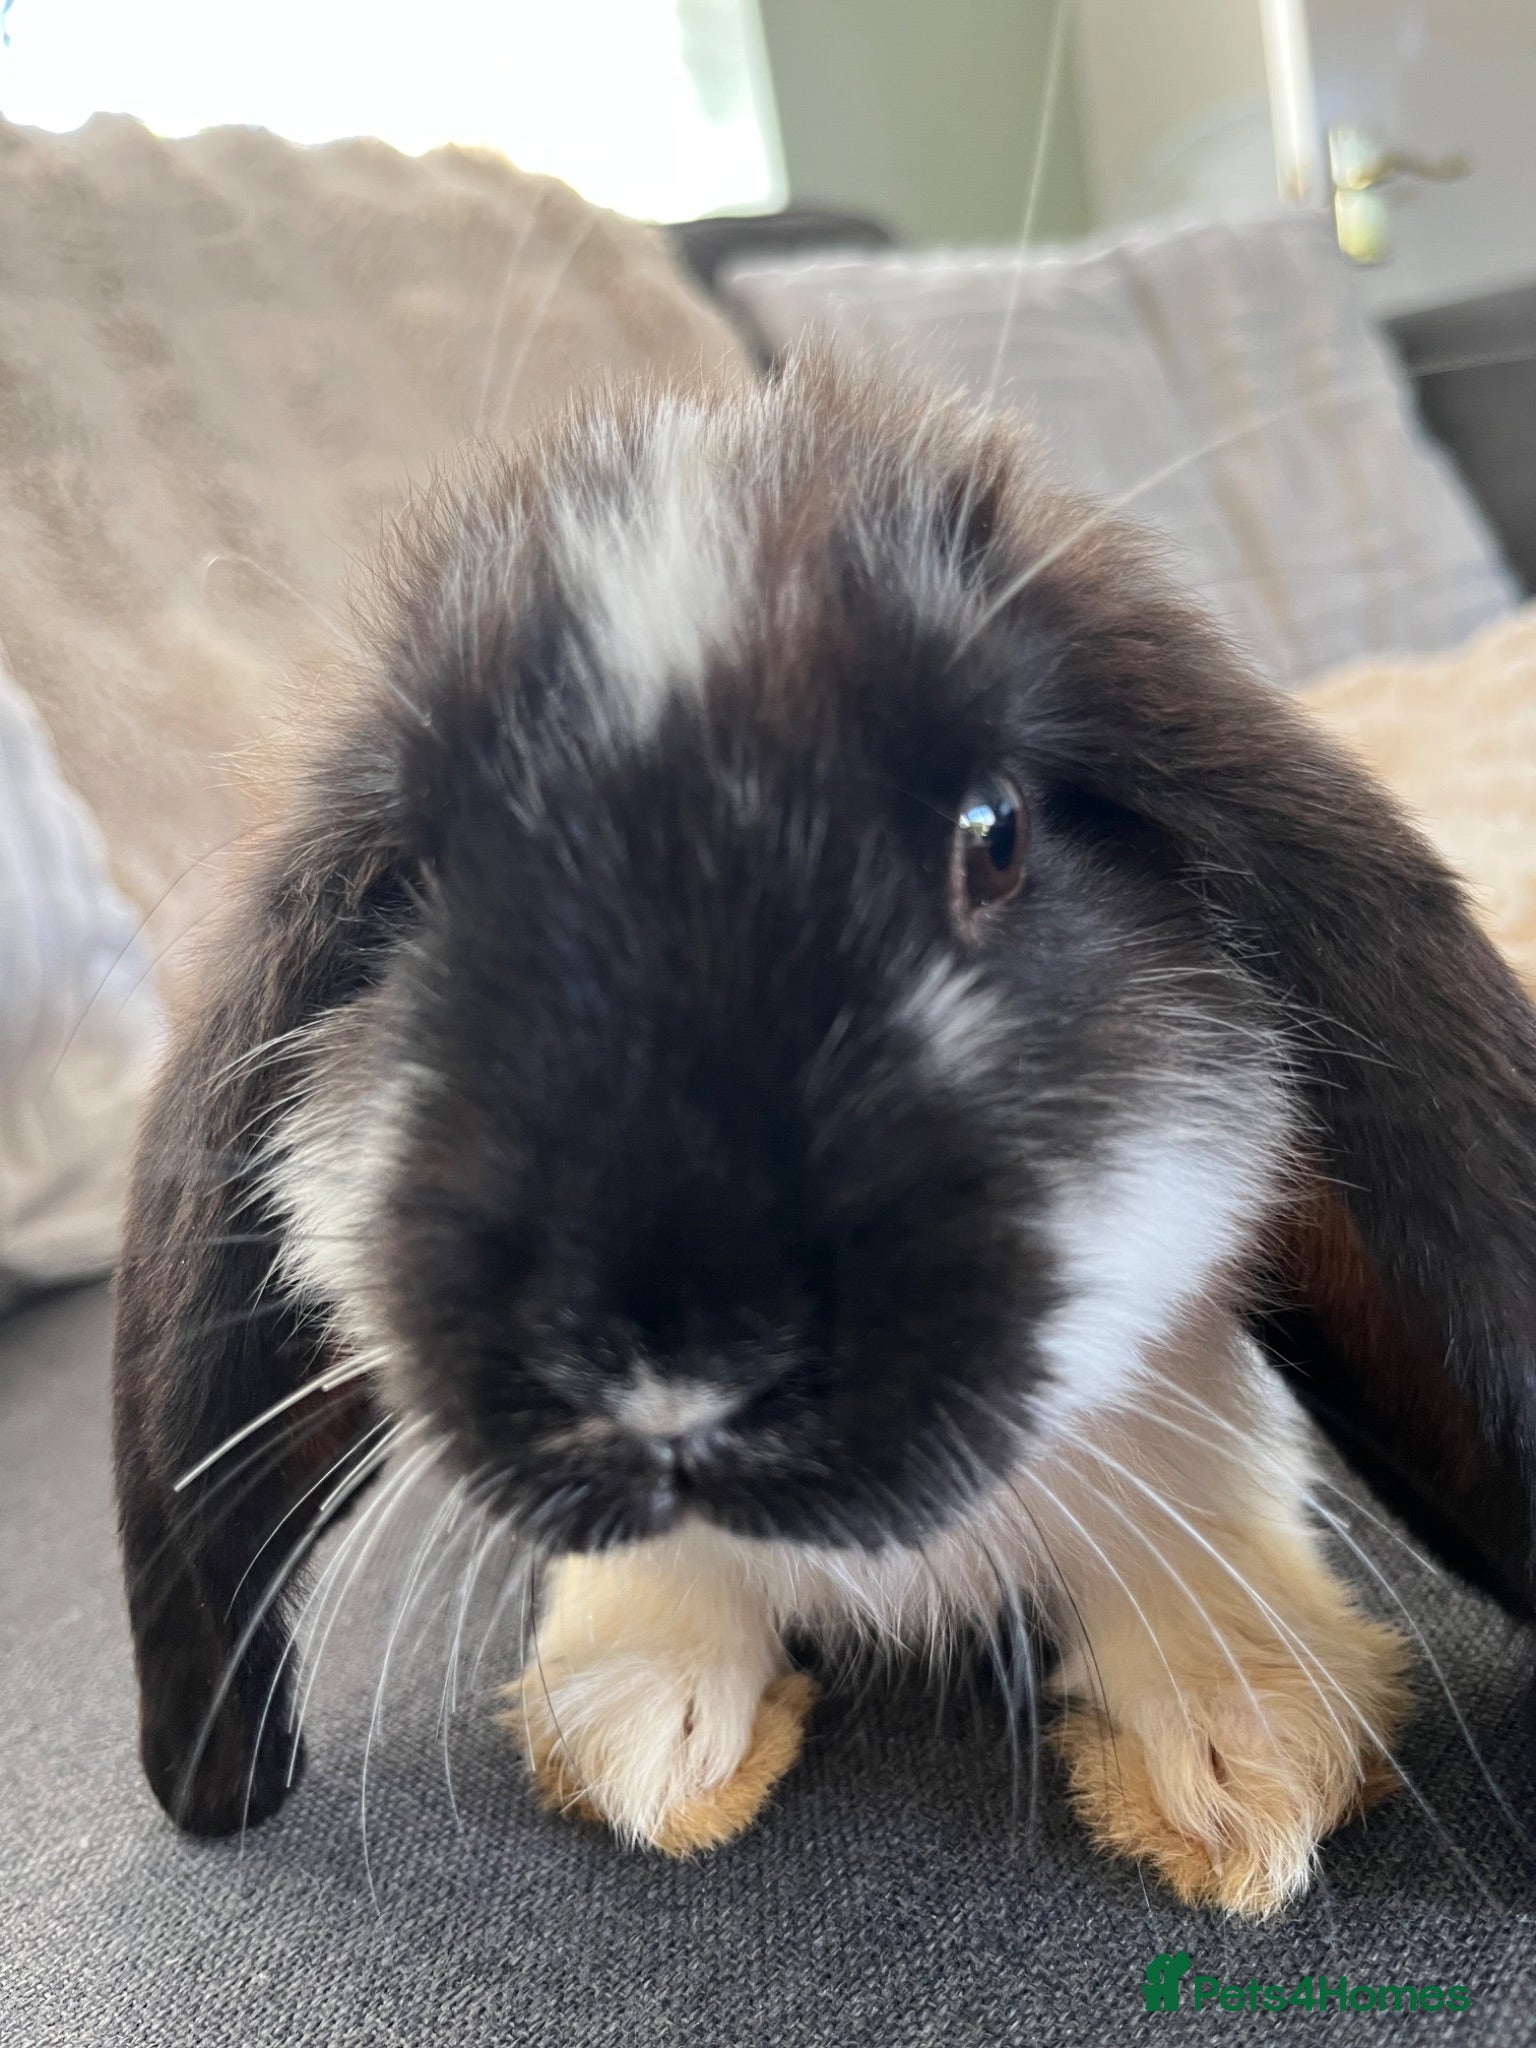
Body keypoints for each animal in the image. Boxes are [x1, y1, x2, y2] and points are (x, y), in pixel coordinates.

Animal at [112, 352, 1536, 1919]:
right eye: (420, 890)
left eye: (995, 829)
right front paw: (647, 1714)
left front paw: (1240, 1746)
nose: (673, 1376)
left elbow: (1207, 1510)